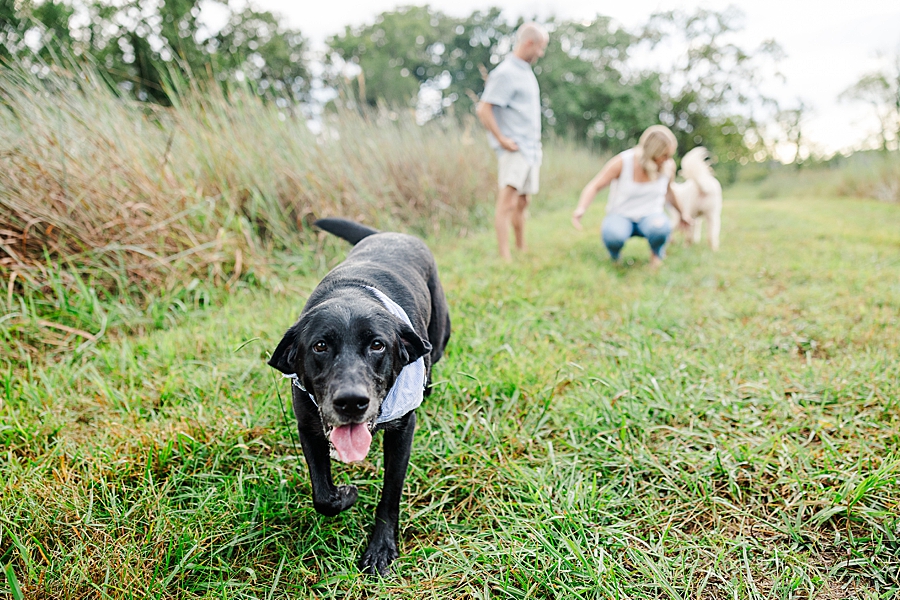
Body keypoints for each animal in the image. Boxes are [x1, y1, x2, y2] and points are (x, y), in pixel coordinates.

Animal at [268, 217, 450, 576]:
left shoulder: (402, 430)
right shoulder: (308, 425)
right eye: (320, 346)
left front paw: (381, 548)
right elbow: (322, 496)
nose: (351, 402)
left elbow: (390, 492)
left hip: (440, 335)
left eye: (377, 345)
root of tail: (387, 233)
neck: (352, 291)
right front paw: (347, 494)